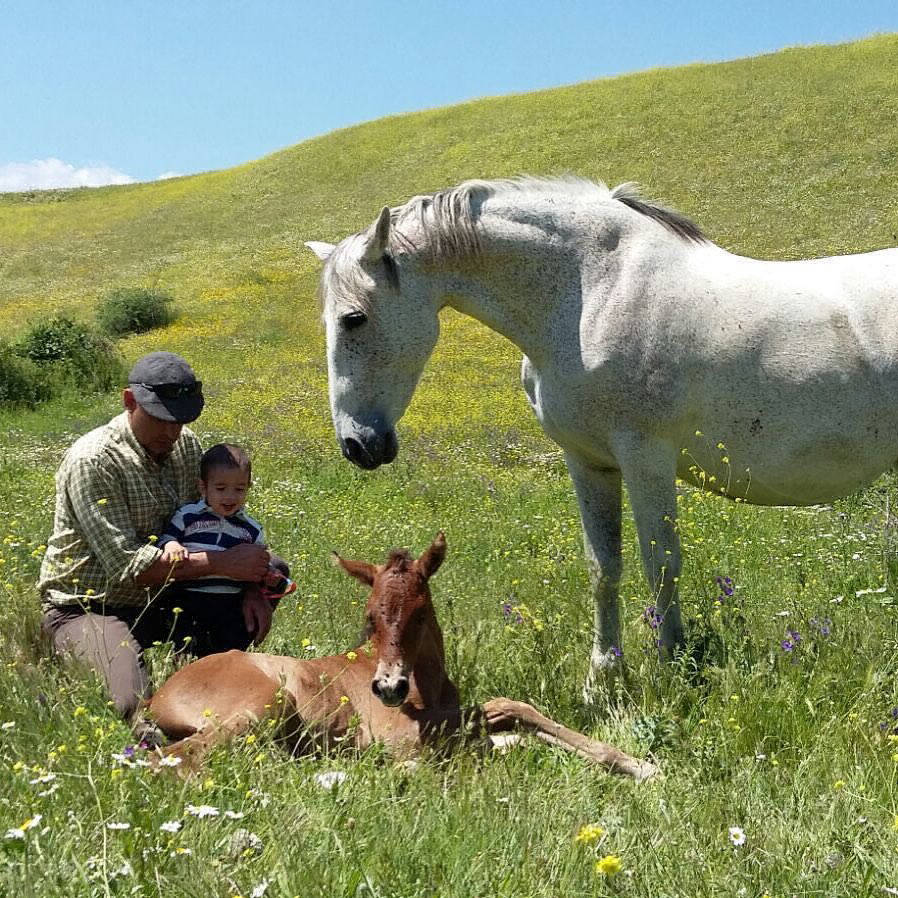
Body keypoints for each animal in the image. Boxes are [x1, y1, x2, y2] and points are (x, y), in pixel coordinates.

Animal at [144, 533, 657, 780]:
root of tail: (154, 699)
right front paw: (643, 764)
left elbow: (514, 726)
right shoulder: (400, 734)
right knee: (178, 759)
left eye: (421, 613)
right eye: (370, 616)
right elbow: (505, 707)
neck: (428, 690)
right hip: (261, 705)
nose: (388, 687)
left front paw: (634, 764)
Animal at [306, 175, 898, 698]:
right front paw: (603, 677)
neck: (590, 292)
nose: (357, 445)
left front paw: (672, 669)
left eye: (354, 318)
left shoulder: (646, 459)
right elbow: (603, 568)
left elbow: (661, 564)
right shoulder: (588, 462)